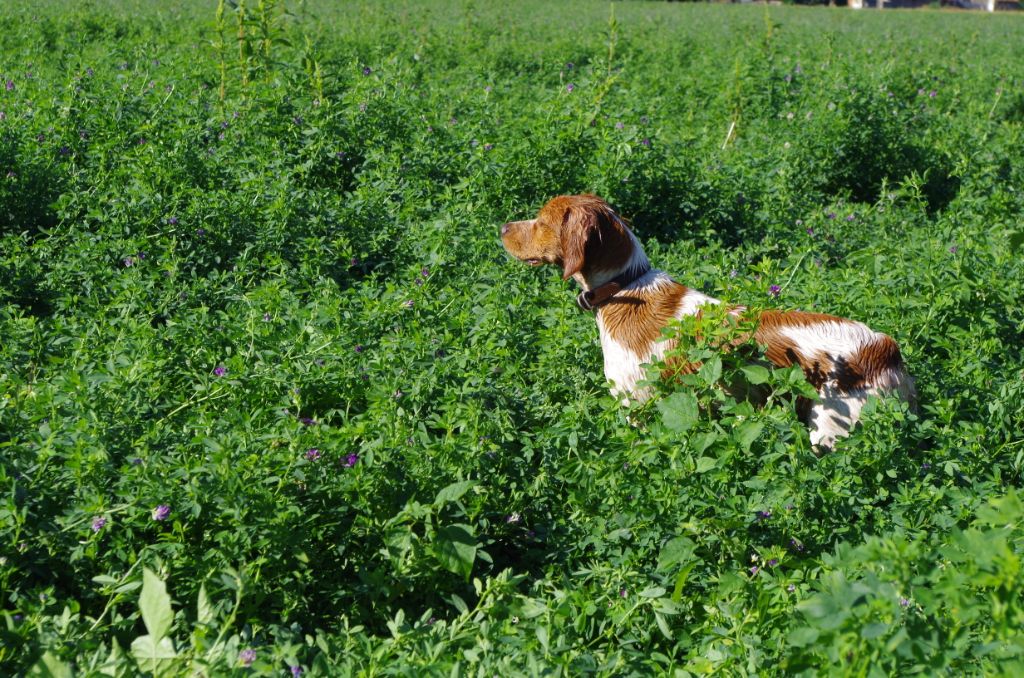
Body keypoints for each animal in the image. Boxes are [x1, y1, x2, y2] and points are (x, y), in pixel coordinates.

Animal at [499, 195, 917, 450]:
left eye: (541, 221)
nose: (501, 227)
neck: (626, 287)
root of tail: (883, 347)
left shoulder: (636, 404)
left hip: (831, 430)